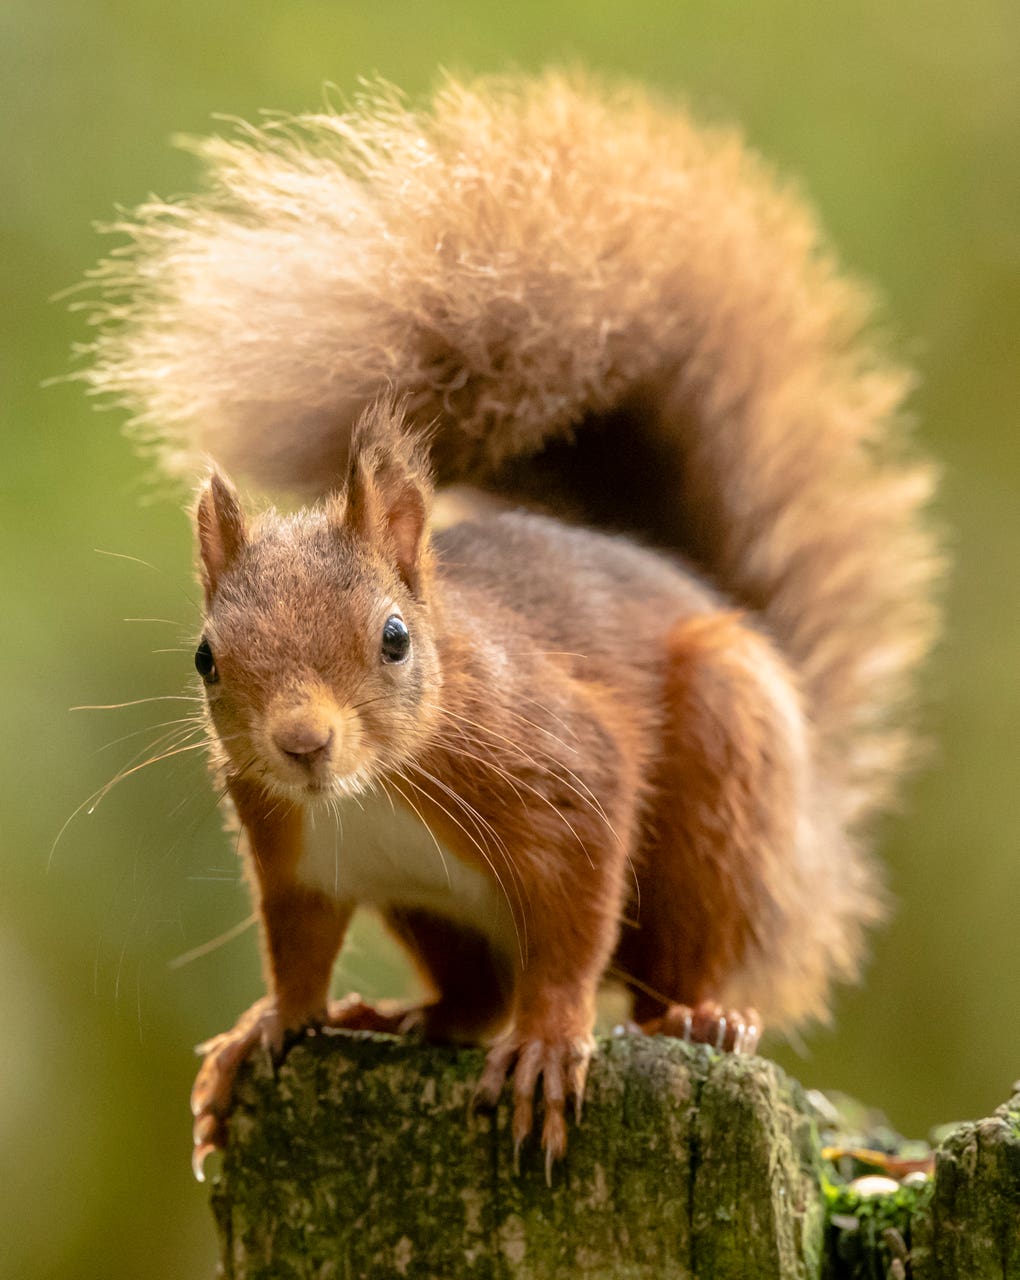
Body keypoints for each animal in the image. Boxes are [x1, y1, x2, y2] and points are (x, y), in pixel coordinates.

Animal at [79, 67, 936, 1172]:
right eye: (206, 658)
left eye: (394, 637)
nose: (302, 742)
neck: (373, 787)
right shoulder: (292, 850)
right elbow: (296, 947)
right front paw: (266, 1027)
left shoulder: (567, 775)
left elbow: (573, 929)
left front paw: (548, 1041)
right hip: (429, 910)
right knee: (474, 995)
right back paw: (398, 1015)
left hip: (724, 778)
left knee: (668, 967)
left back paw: (699, 1017)